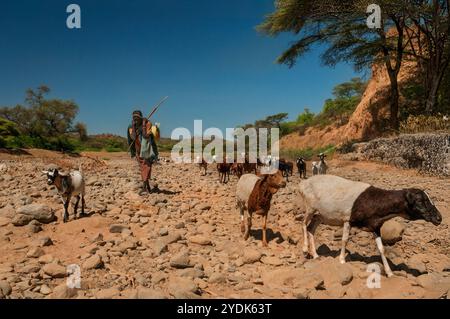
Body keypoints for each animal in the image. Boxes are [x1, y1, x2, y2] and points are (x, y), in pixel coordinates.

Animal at [298, 175, 442, 278]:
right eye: (420, 201)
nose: (439, 218)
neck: (376, 201)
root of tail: (303, 183)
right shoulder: (348, 220)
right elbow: (344, 240)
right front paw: (342, 260)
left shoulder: (375, 226)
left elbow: (381, 249)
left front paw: (389, 273)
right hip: (310, 207)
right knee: (303, 224)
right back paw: (305, 249)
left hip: (321, 215)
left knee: (311, 228)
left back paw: (315, 255)